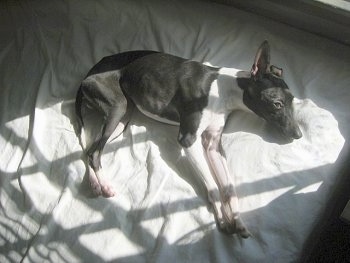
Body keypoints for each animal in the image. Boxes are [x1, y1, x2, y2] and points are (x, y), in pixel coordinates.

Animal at [75, 41, 302, 239]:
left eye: (293, 101)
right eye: (277, 104)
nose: (298, 134)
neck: (223, 89)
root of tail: (89, 74)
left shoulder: (212, 145)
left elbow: (228, 188)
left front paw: (237, 221)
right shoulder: (188, 140)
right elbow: (213, 187)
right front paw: (222, 219)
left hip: (123, 118)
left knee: (88, 151)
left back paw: (95, 184)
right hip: (118, 108)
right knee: (94, 153)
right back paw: (105, 185)